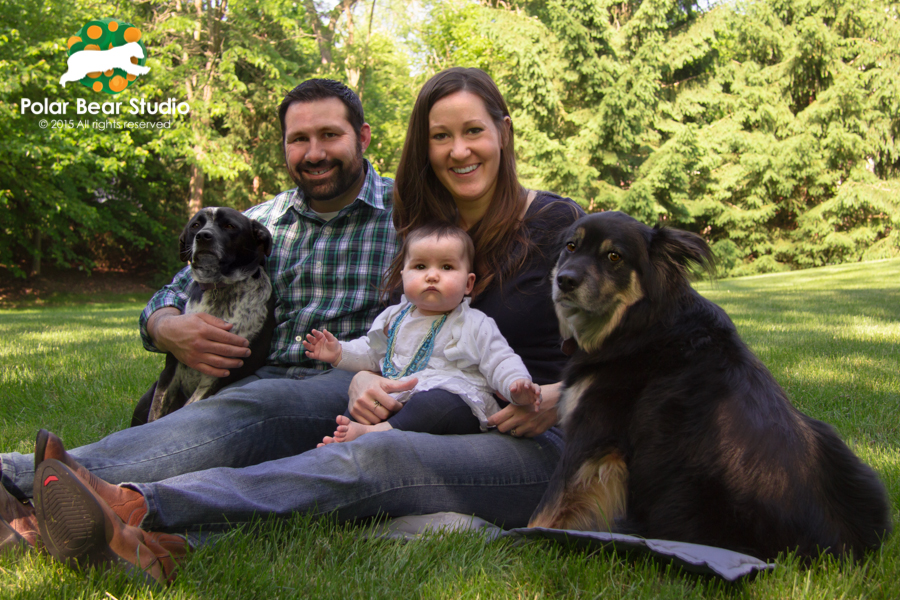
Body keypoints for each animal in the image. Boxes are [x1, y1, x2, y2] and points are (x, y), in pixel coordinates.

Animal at [132, 209, 276, 424]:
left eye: (229, 226)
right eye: (195, 225)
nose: (203, 236)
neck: (219, 288)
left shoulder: (220, 374)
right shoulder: (170, 369)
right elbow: (155, 414)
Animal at [532, 212, 888, 564]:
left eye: (614, 256)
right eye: (571, 246)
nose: (564, 280)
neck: (640, 323)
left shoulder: (591, 436)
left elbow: (545, 513)